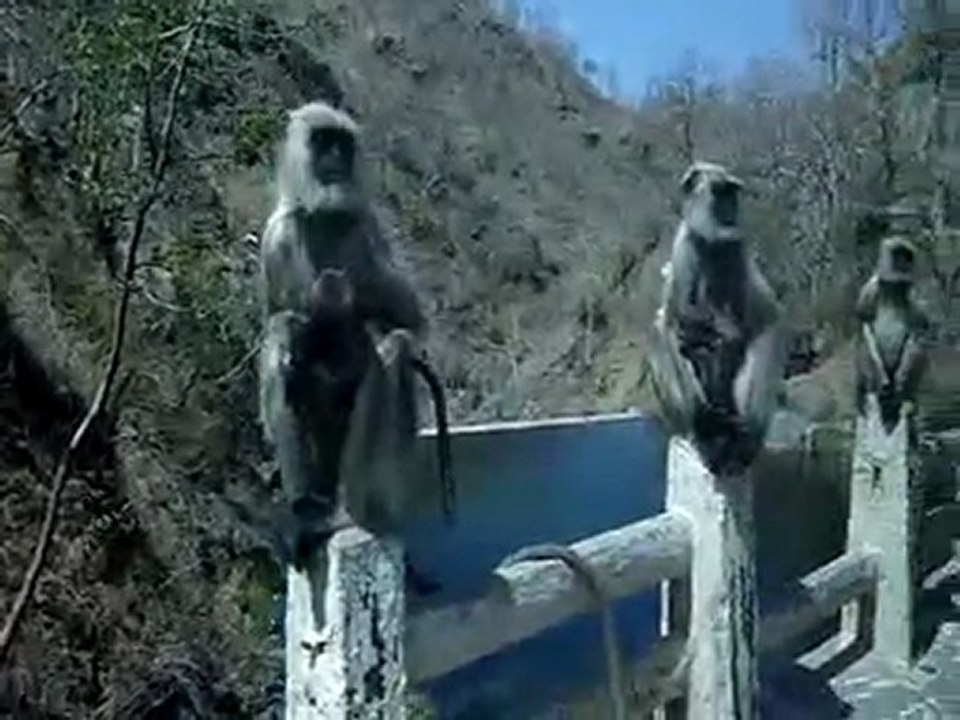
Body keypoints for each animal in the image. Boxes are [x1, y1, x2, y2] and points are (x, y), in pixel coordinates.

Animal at [648, 161, 786, 475]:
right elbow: (675, 322)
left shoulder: (735, 248)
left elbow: (742, 328)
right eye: (720, 193)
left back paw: (742, 436)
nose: (731, 211)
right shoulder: (685, 245)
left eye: (732, 194)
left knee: (765, 335)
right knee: (662, 333)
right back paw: (706, 428)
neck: (710, 242)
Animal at [854, 235, 930, 434]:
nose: (904, 264)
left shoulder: (911, 294)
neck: (893, 289)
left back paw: (905, 397)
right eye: (898, 255)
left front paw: (902, 380)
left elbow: (916, 332)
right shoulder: (870, 288)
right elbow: (865, 326)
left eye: (907, 256)